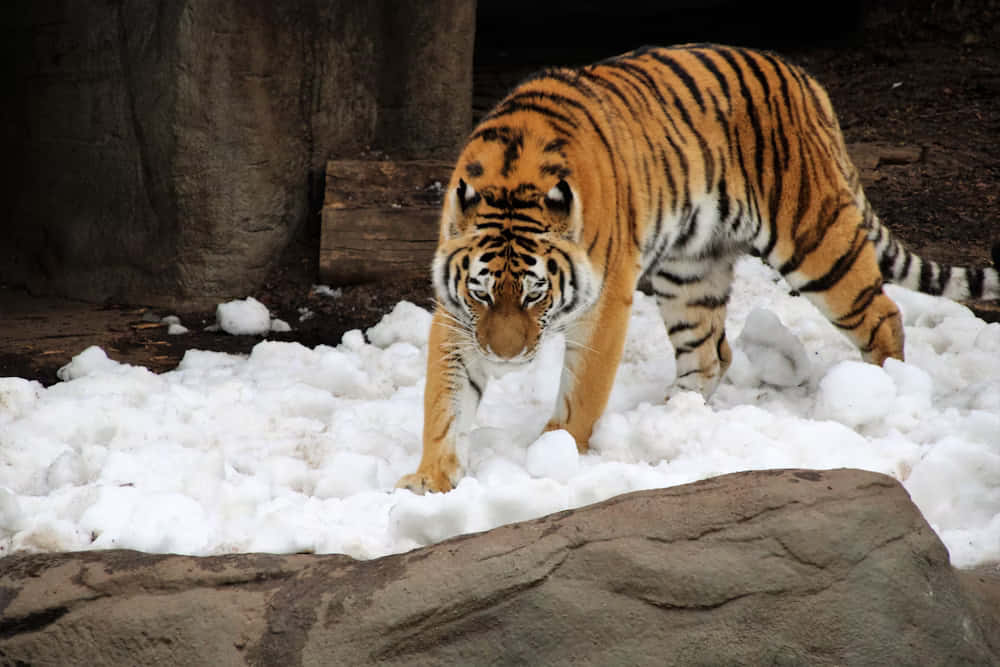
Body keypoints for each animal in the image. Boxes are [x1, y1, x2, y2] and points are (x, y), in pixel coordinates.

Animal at [396, 44, 1000, 494]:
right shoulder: (457, 313)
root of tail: (805, 79)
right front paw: (430, 480)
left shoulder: (605, 299)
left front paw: (553, 450)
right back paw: (671, 419)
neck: (511, 176)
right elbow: (445, 399)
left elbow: (582, 391)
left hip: (815, 243)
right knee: (711, 353)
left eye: (534, 294)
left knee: (882, 316)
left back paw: (888, 388)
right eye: (483, 295)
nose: (507, 357)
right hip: (689, 270)